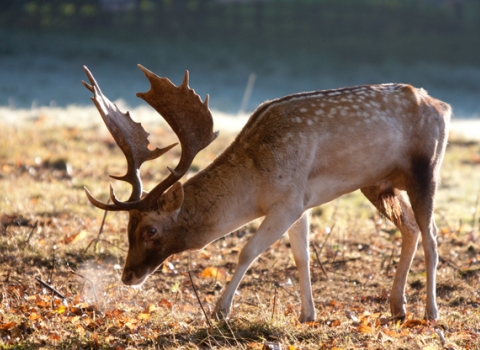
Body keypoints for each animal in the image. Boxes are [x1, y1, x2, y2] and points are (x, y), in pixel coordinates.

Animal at [82, 65, 450, 322]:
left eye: (151, 230)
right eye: (127, 228)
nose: (128, 275)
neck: (256, 182)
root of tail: (444, 106)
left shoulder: (287, 203)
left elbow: (248, 251)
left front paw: (220, 310)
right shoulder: (301, 203)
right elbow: (301, 256)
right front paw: (308, 314)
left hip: (426, 169)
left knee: (432, 235)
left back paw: (430, 312)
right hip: (378, 184)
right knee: (410, 228)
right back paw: (398, 306)